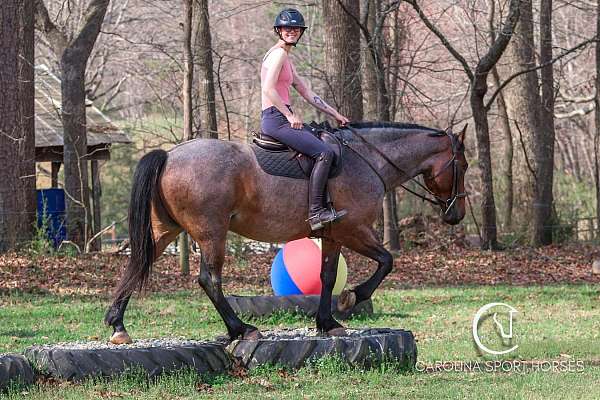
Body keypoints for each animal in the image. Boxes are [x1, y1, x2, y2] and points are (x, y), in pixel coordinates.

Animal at [103, 122, 468, 344]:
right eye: (462, 166)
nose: (457, 215)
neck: (367, 161)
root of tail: (168, 155)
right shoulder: (354, 230)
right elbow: (386, 261)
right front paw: (353, 296)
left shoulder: (332, 236)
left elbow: (327, 276)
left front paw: (327, 322)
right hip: (211, 233)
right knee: (209, 280)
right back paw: (241, 329)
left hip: (164, 231)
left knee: (136, 265)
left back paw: (118, 325)